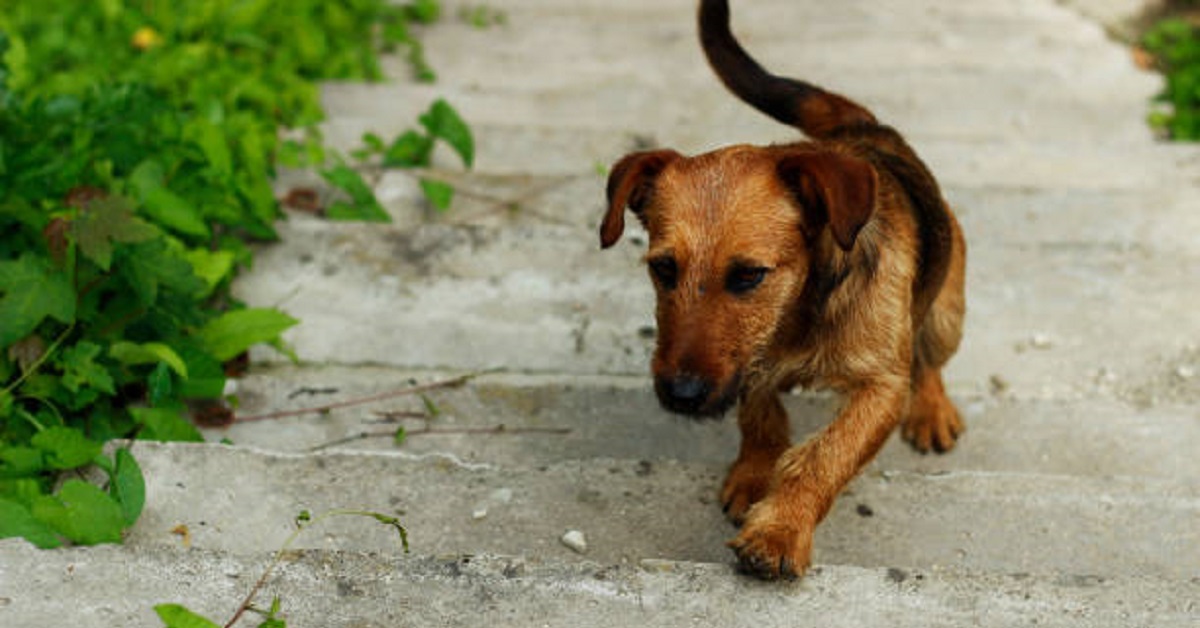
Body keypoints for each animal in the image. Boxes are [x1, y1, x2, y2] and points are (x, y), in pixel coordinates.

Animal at [600, 0, 964, 583]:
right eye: (663, 269)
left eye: (749, 275)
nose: (680, 395)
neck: (800, 316)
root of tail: (863, 128)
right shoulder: (749, 363)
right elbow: (761, 416)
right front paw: (755, 475)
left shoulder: (882, 385)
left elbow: (826, 454)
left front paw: (780, 529)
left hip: (948, 311)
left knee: (928, 355)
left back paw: (931, 408)